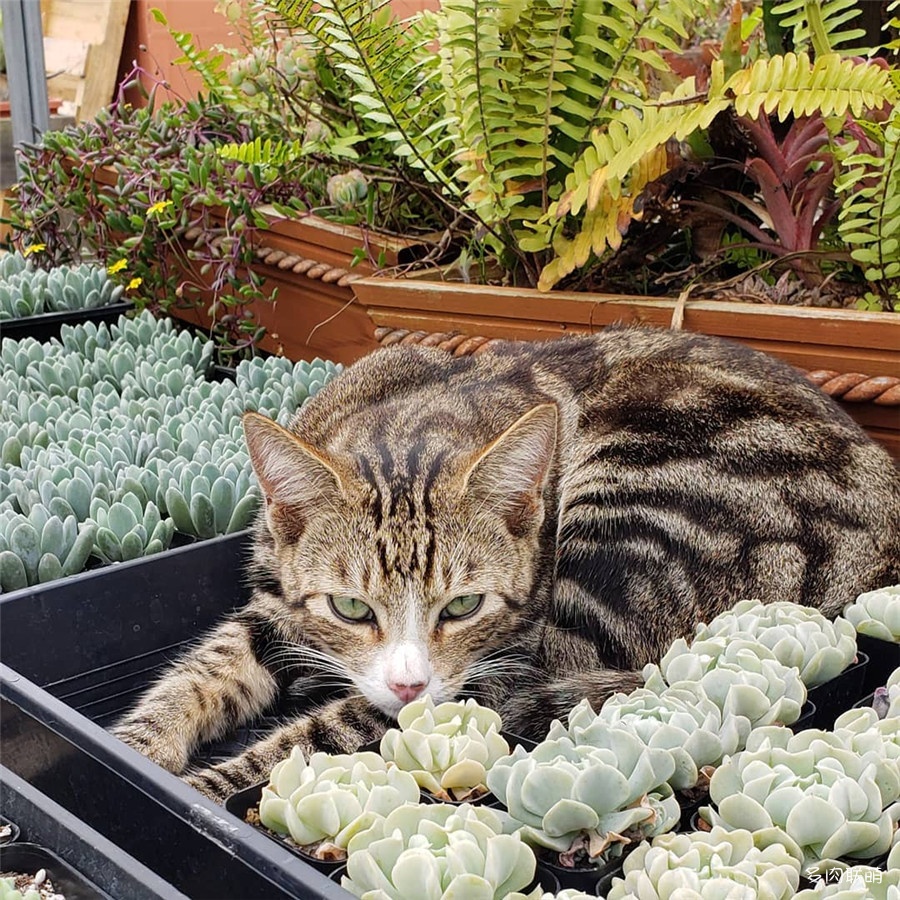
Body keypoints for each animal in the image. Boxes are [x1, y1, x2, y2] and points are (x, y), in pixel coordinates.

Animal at [112, 326, 900, 800]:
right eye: (351, 607)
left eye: (463, 606)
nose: (407, 682)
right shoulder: (274, 603)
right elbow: (200, 674)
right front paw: (134, 751)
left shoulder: (491, 665)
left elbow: (318, 734)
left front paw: (207, 788)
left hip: (642, 501)